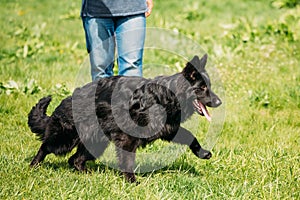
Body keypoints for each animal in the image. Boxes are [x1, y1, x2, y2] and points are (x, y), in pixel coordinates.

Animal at [28, 54, 221, 182]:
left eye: (209, 86)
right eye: (202, 88)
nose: (219, 102)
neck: (167, 96)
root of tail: (66, 101)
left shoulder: (169, 129)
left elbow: (191, 137)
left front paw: (202, 153)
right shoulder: (128, 137)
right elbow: (127, 160)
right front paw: (131, 181)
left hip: (95, 143)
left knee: (75, 160)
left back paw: (88, 175)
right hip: (66, 139)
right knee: (46, 146)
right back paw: (33, 165)